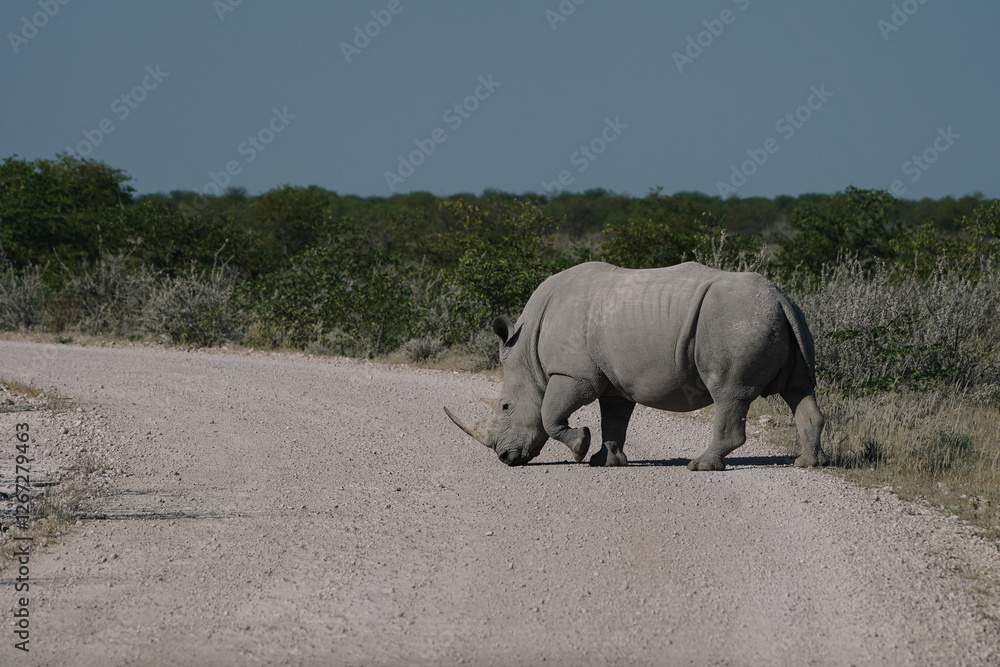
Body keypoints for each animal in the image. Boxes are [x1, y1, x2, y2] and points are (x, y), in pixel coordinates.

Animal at [445, 261, 827, 470]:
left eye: (505, 407)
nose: (505, 458)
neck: (525, 353)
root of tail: (779, 296)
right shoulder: (613, 381)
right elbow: (614, 418)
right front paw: (605, 461)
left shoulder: (573, 374)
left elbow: (550, 415)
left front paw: (580, 447)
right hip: (781, 317)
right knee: (800, 388)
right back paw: (807, 463)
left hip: (737, 321)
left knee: (729, 393)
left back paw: (700, 466)